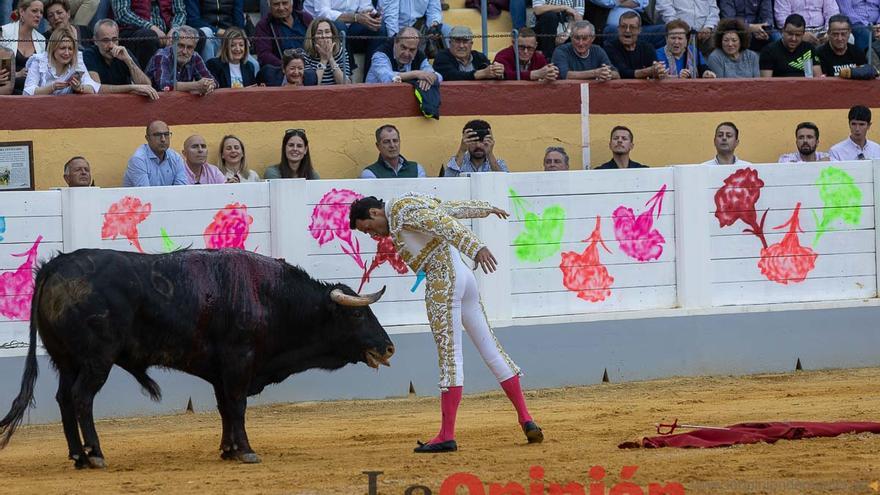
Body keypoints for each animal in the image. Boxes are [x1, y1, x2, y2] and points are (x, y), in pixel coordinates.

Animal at [0, 248, 396, 468]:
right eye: (358, 315)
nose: (389, 347)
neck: (270, 296)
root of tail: (55, 266)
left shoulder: (221, 370)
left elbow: (224, 408)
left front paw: (228, 449)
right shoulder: (239, 361)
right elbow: (237, 405)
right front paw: (246, 451)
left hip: (66, 360)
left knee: (64, 399)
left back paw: (77, 455)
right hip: (96, 360)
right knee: (82, 399)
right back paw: (94, 454)